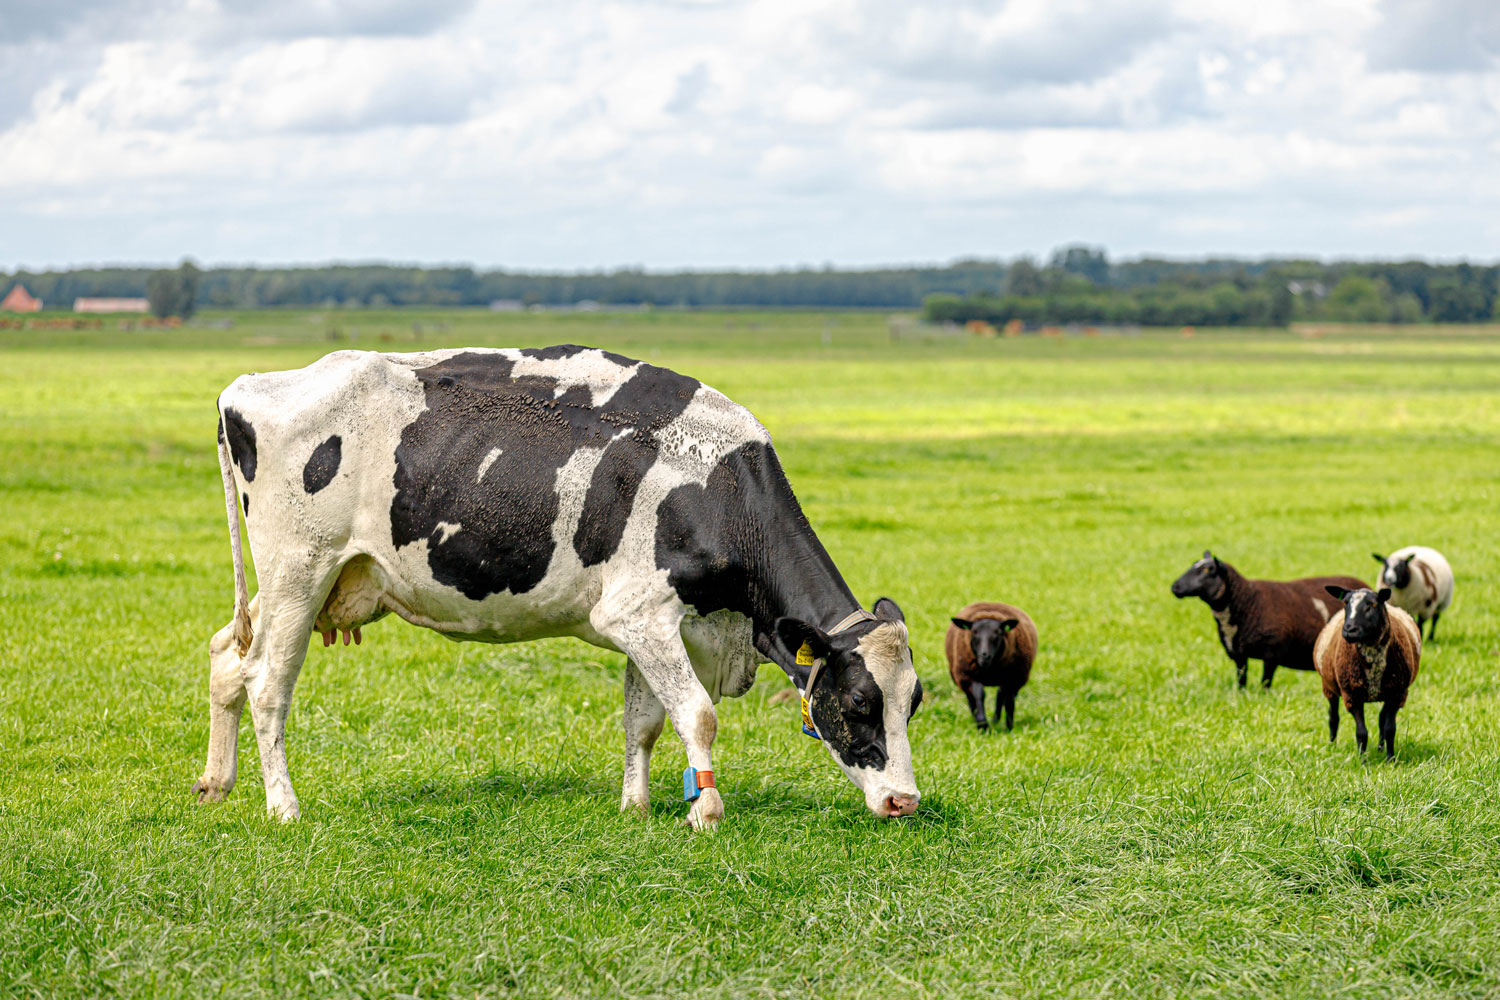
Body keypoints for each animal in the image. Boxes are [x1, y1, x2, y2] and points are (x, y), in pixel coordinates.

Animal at [196, 346, 923, 830]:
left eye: (911, 703)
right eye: (858, 702)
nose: (904, 800)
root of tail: (251, 386)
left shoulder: (655, 624)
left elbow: (643, 721)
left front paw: (636, 807)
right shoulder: (638, 613)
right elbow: (697, 714)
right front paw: (707, 809)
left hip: (317, 578)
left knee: (228, 656)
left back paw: (216, 783)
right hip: (299, 568)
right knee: (267, 685)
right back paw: (283, 806)